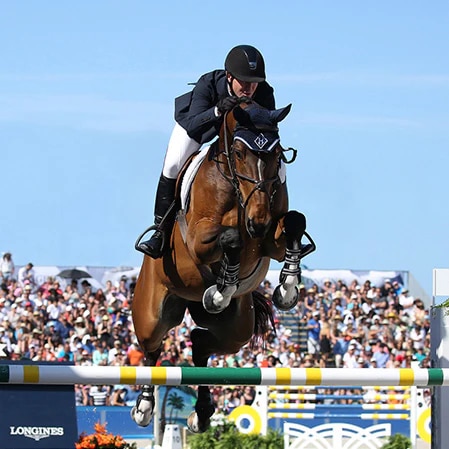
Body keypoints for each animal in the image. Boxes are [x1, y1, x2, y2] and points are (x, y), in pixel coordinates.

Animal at [130, 99, 316, 434]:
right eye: (239, 153)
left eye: (277, 154)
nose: (258, 222)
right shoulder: (198, 241)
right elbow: (230, 237)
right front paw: (222, 289)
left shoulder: (271, 241)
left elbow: (295, 222)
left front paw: (287, 289)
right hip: (152, 313)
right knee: (152, 350)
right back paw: (145, 407)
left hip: (236, 331)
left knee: (200, 344)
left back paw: (202, 413)